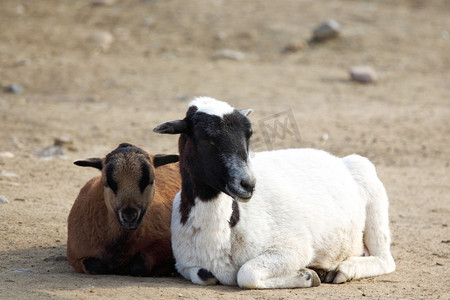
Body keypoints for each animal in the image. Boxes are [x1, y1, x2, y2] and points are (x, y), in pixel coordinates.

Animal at [154, 96, 394, 288]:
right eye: (206, 137)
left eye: (249, 135)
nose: (248, 183)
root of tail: (335, 157)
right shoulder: (186, 265)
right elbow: (205, 275)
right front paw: (309, 274)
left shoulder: (292, 248)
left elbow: (246, 274)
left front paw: (307, 276)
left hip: (371, 191)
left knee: (385, 259)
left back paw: (344, 269)